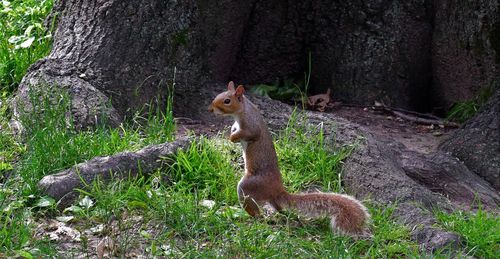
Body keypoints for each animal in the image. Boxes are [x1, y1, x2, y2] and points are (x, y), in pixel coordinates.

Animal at [208, 82, 372, 239]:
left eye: (227, 101)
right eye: (217, 95)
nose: (211, 109)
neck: (242, 111)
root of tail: (277, 190)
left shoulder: (251, 125)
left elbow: (249, 133)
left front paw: (232, 138)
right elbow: (234, 129)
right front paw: (232, 132)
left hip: (249, 185)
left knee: (255, 209)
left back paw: (250, 217)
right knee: (278, 207)